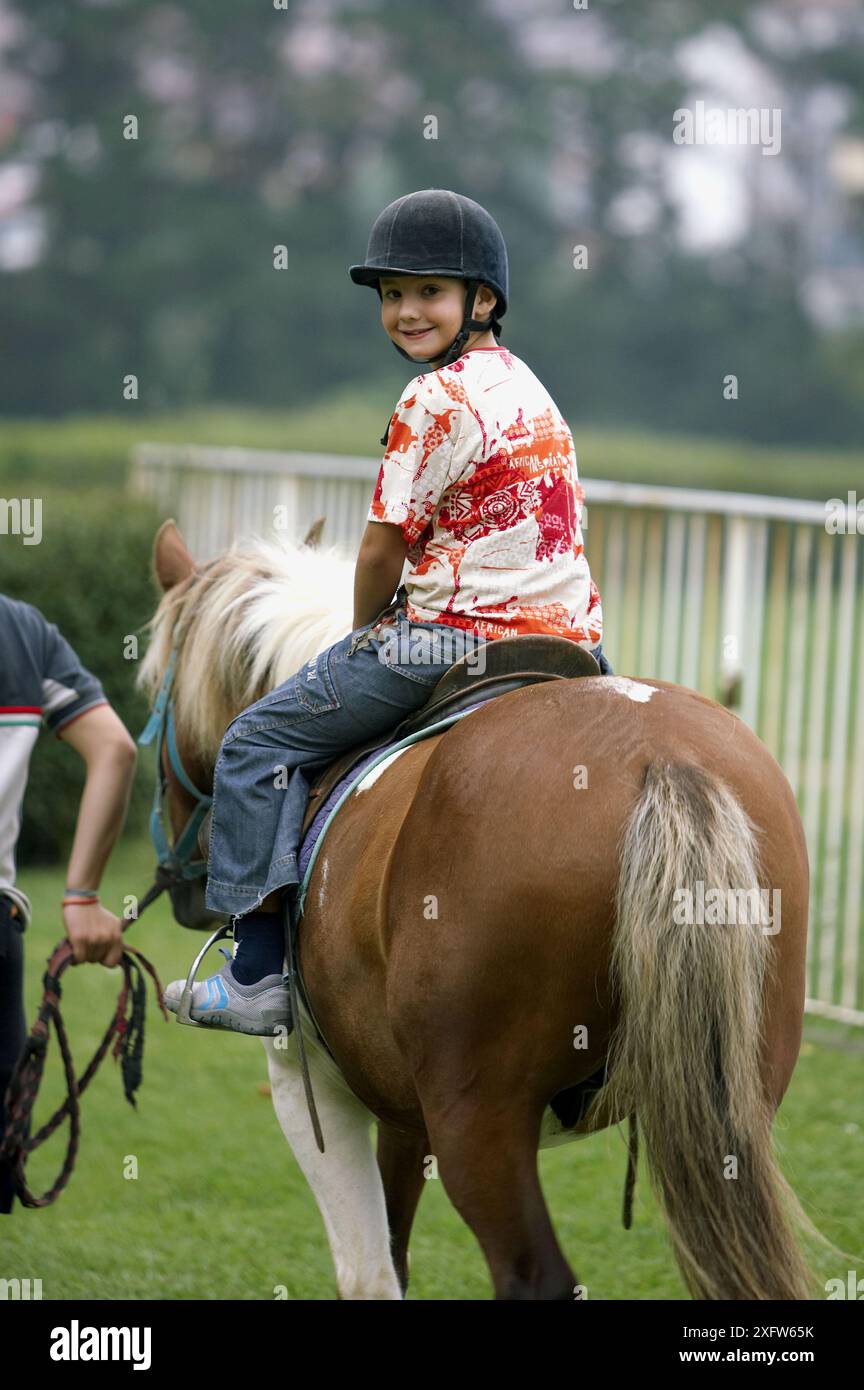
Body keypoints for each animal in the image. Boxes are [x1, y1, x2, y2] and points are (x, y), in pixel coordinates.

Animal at [138, 517, 822, 1295]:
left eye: (156, 690)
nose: (184, 888)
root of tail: (661, 757)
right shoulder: (405, 1117)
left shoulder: (315, 1090)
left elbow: (369, 1273)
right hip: (732, 1116)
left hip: (479, 1121)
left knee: (533, 1275)